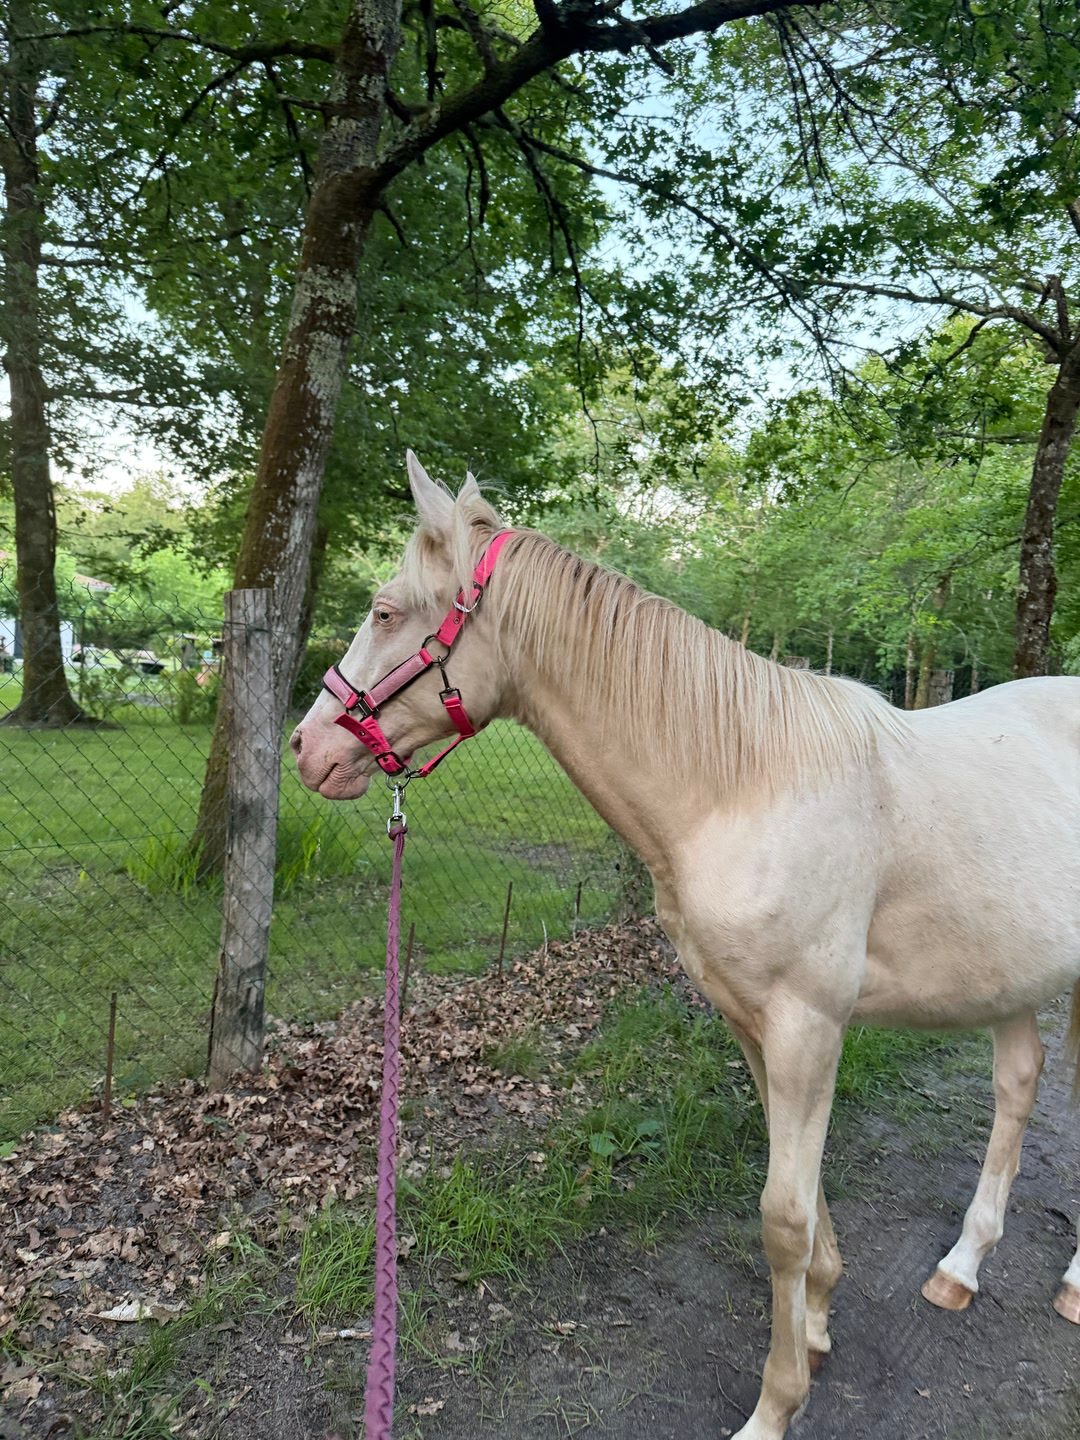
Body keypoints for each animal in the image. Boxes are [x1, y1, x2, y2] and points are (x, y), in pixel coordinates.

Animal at [292, 452, 1080, 1440]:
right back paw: (961, 1268)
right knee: (1018, 1083)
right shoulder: (754, 1024)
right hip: (1011, 974)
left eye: (387, 611)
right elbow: (800, 1191)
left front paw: (776, 1404)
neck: (743, 783)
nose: (307, 749)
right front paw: (817, 1322)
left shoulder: (809, 1027)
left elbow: (782, 1216)